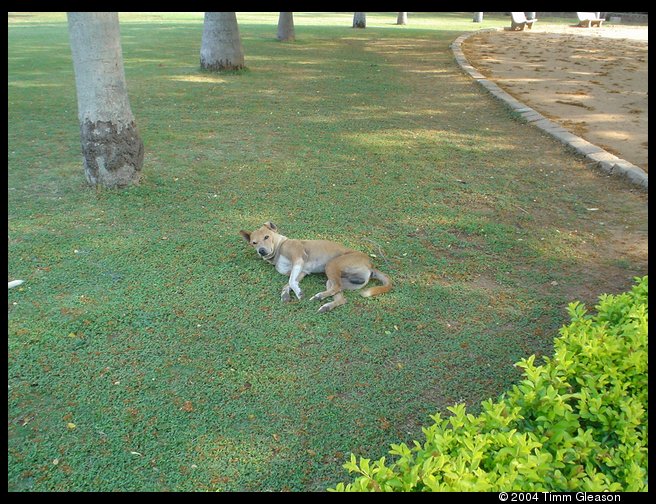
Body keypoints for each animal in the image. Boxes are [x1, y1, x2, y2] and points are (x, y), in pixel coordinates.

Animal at [239, 222, 391, 313]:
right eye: (254, 243)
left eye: (267, 237)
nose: (261, 251)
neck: (280, 247)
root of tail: (371, 265)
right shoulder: (301, 271)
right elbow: (288, 283)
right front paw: (286, 295)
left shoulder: (299, 258)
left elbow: (290, 282)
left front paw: (299, 294)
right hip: (334, 280)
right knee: (341, 296)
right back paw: (326, 306)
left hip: (331, 265)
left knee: (337, 288)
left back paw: (319, 296)